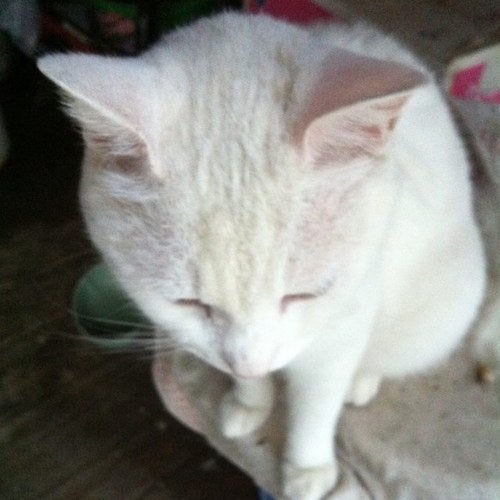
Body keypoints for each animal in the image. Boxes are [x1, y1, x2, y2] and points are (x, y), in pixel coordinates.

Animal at [38, 12, 489, 500]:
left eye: (303, 296)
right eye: (188, 303)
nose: (251, 363)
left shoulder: (343, 324)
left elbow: (316, 406)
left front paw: (307, 470)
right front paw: (248, 401)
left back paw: (361, 380)